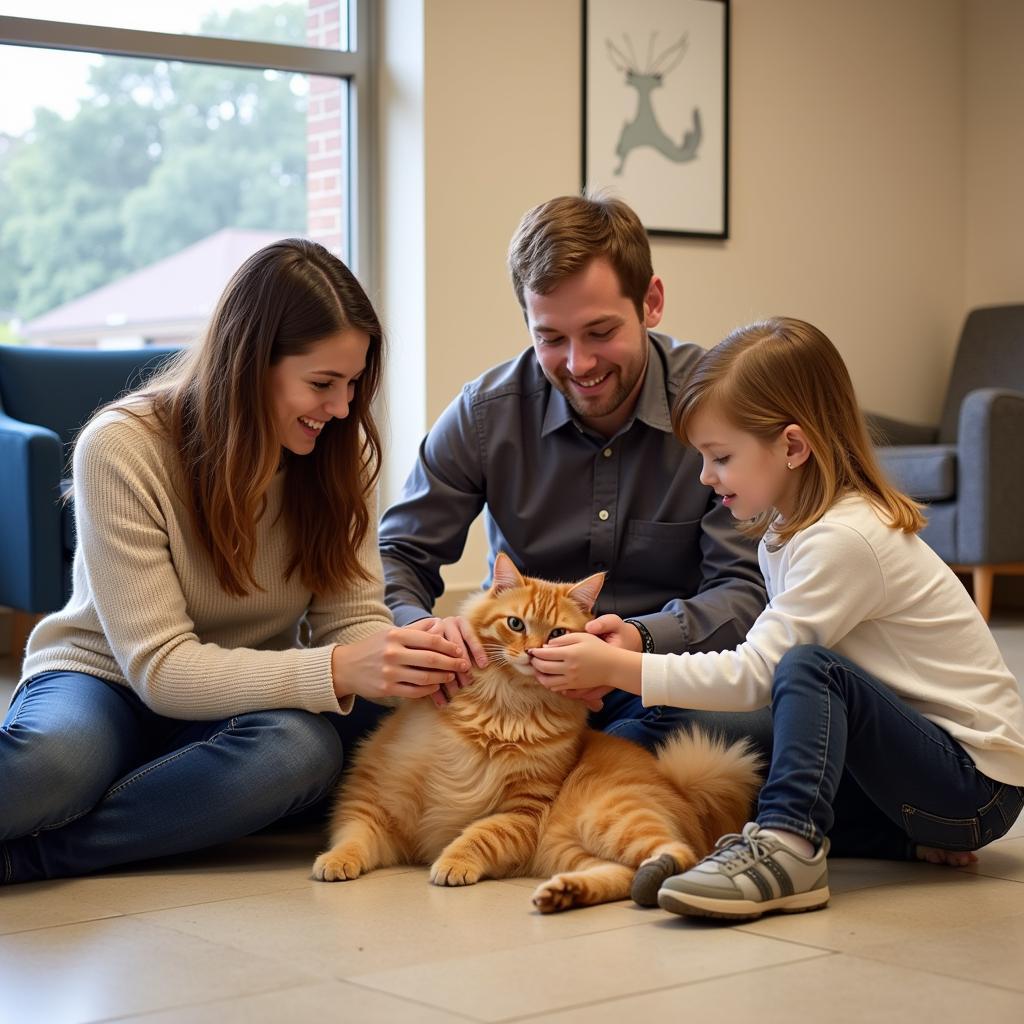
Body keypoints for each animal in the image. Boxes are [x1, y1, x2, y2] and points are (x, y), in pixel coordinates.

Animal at [311, 552, 761, 913]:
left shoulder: (523, 811)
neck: (505, 708)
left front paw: (453, 863)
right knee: (623, 875)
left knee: (677, 856)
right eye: (515, 624)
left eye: (557, 633)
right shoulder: (377, 798)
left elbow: (477, 835)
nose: (531, 652)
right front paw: (335, 862)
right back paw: (563, 894)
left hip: (614, 815)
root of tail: (683, 790)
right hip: (571, 847)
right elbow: (354, 835)